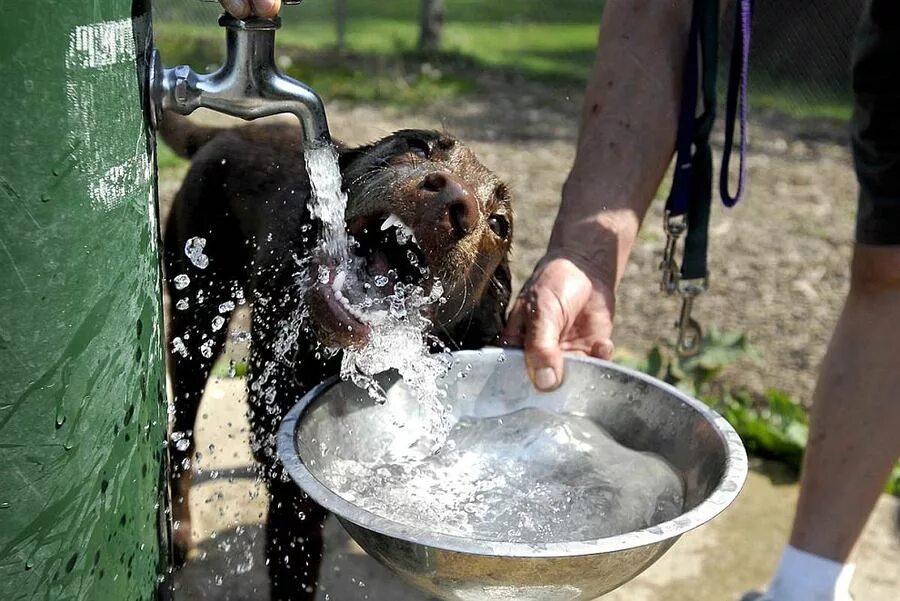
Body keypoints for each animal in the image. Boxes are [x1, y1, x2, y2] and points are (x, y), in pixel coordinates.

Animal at [160, 113, 512, 600]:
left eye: (499, 224)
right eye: (418, 146)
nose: (452, 200)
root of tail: (223, 131)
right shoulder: (292, 495)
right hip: (197, 318)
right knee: (181, 437)